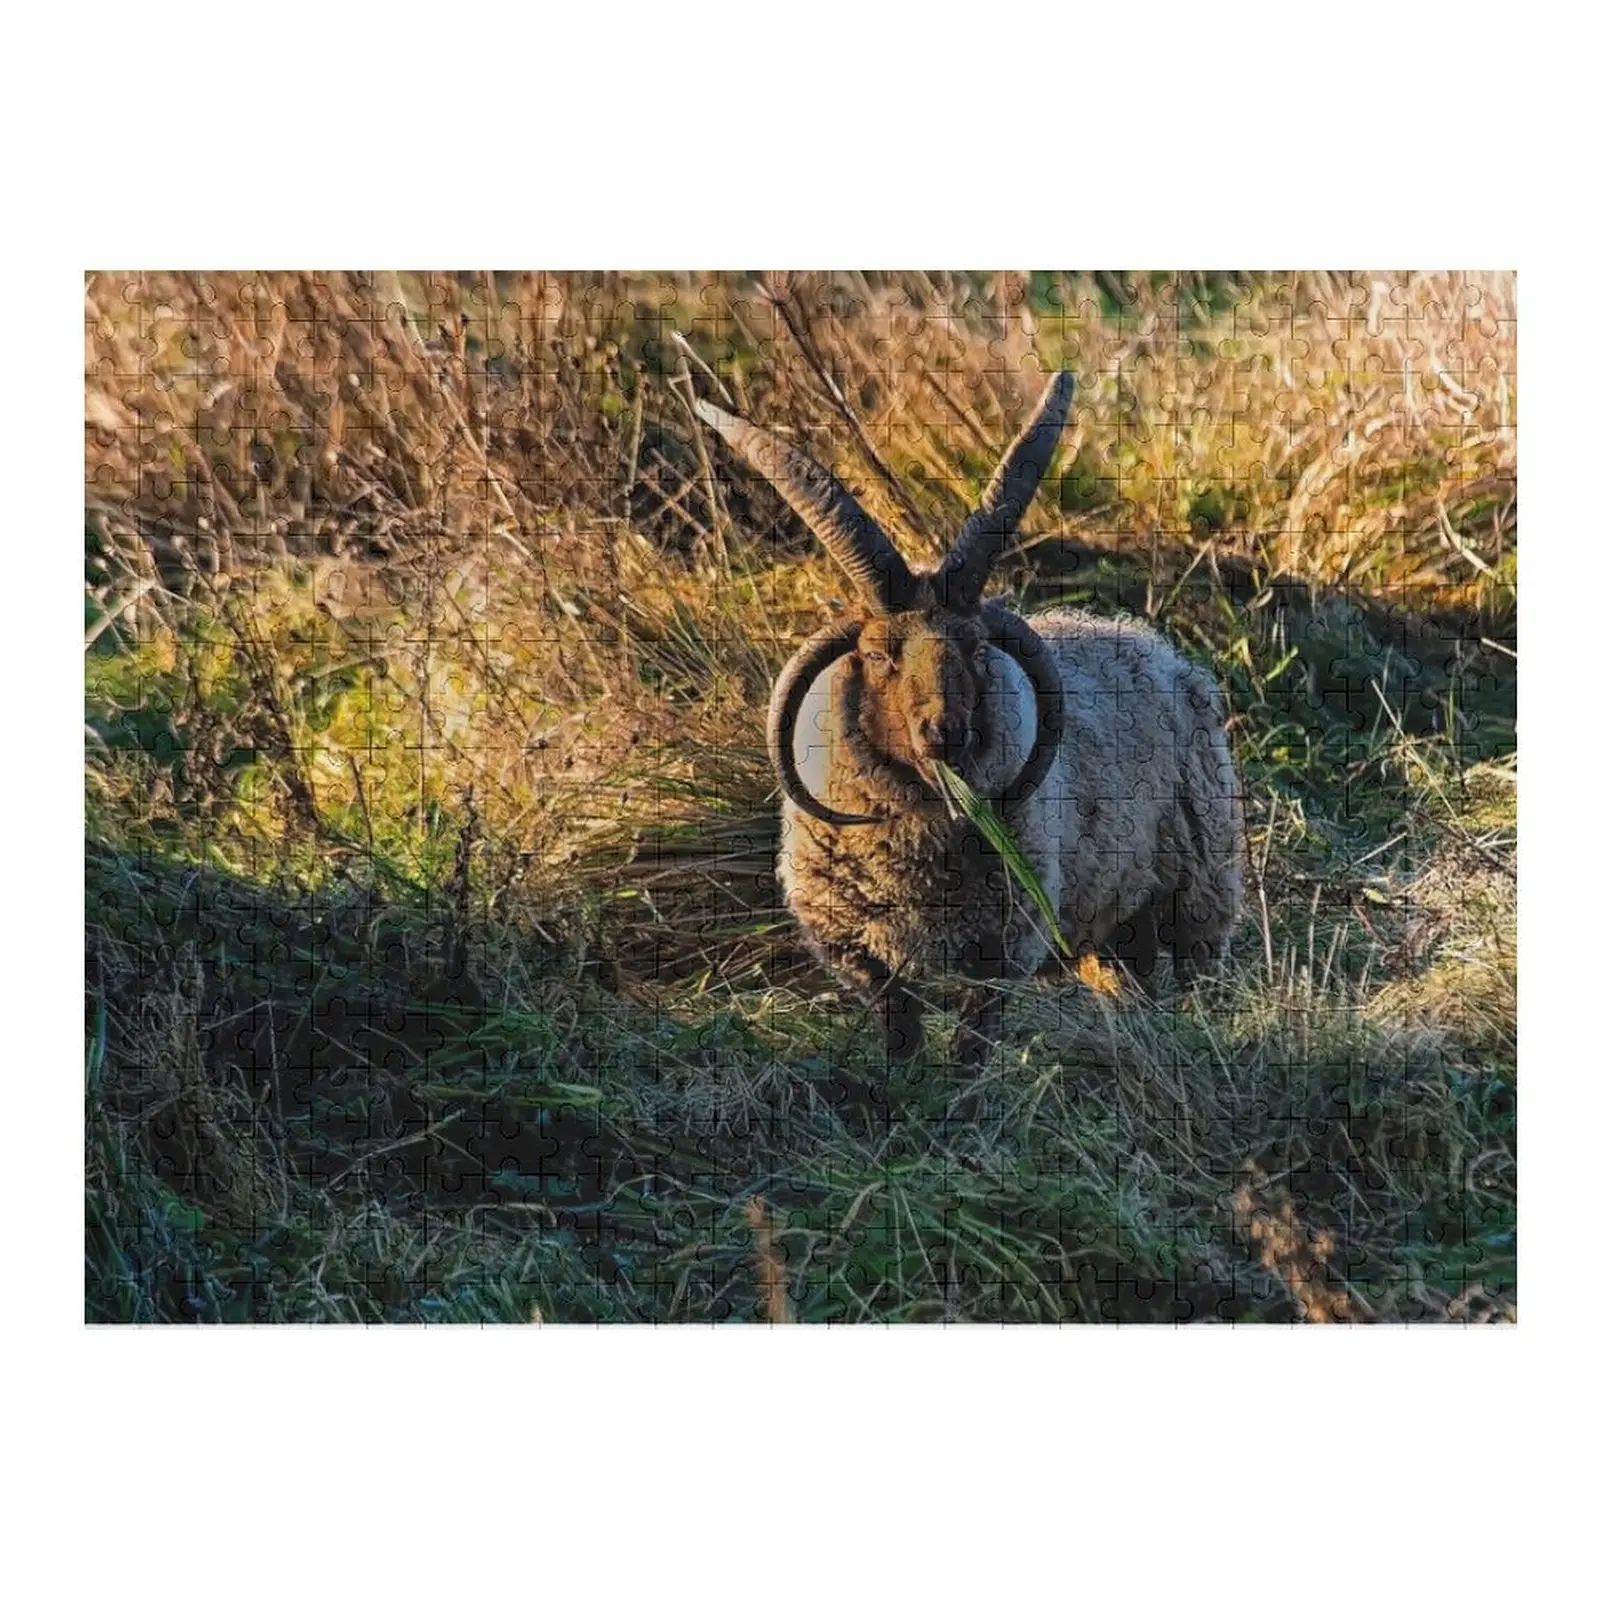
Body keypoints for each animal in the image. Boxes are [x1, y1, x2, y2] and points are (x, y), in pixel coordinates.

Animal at [697, 372, 1244, 1069]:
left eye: (976, 647)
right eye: (879, 654)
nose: (946, 732)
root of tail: (1153, 645)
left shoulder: (1007, 940)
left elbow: (974, 1033)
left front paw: (961, 1084)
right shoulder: (860, 948)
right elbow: (899, 1022)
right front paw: (904, 1081)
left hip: (1198, 888)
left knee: (1193, 974)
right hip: (1117, 916)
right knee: (1129, 978)